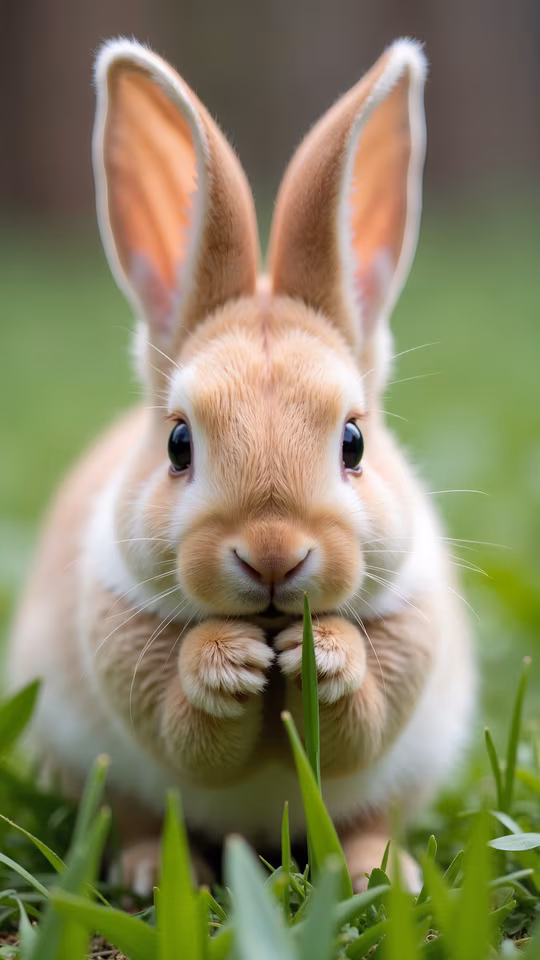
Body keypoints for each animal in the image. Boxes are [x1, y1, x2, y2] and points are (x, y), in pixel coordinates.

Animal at [9, 36, 475, 894]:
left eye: (354, 442)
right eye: (178, 444)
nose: (272, 554)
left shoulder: (411, 643)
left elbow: (363, 720)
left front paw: (323, 656)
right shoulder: (122, 649)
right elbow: (185, 728)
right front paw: (229, 664)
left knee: (371, 819)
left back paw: (380, 874)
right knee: (131, 813)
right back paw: (154, 876)